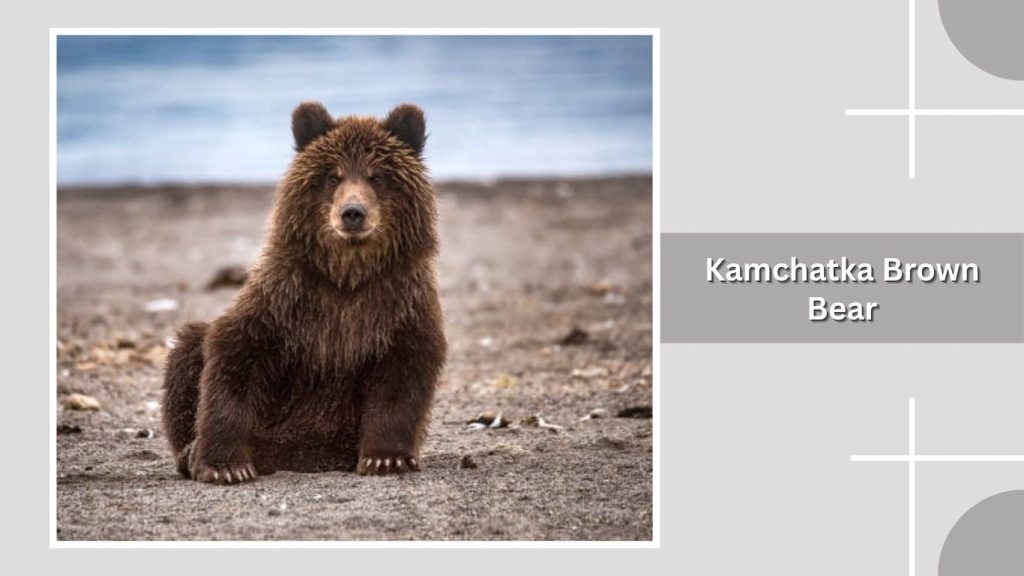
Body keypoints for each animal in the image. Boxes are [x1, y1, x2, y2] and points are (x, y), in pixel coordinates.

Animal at [161, 102, 446, 484]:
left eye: (377, 176)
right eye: (332, 176)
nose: (352, 213)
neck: (347, 276)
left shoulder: (398, 306)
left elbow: (400, 380)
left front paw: (386, 458)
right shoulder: (285, 299)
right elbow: (234, 358)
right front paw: (226, 465)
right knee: (188, 347)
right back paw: (189, 452)